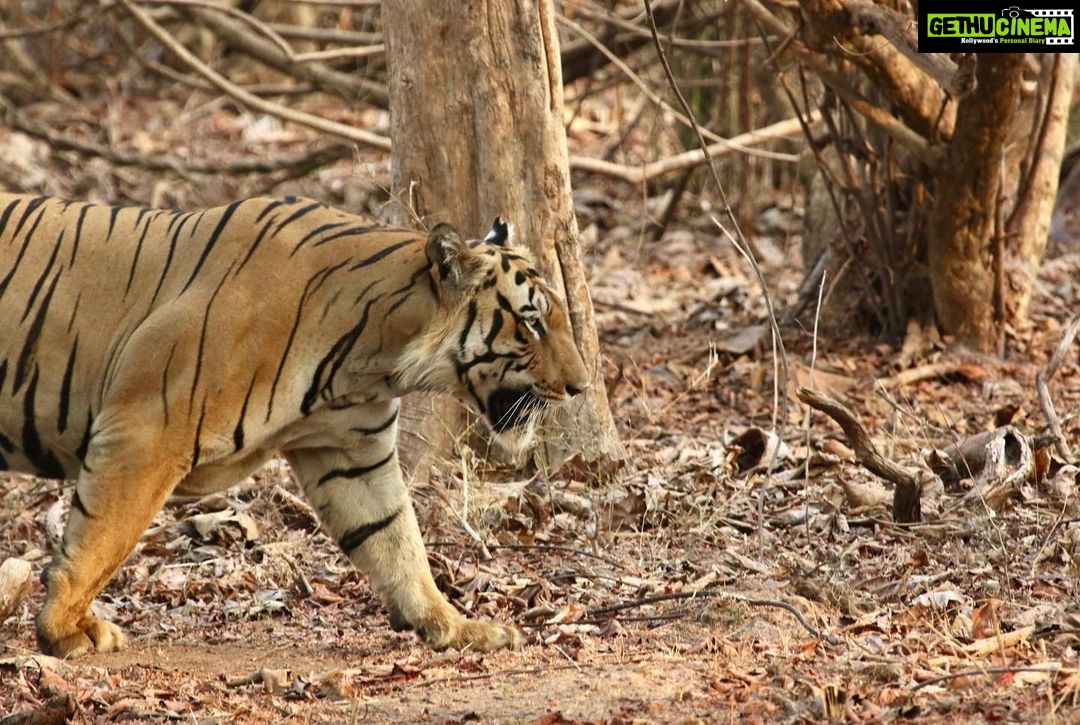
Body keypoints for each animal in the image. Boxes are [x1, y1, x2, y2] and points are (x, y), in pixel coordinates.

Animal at [0, 193, 589, 659]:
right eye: (532, 322)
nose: (582, 386)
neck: (374, 355)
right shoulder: (145, 431)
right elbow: (103, 539)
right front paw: (64, 630)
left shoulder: (352, 453)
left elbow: (397, 541)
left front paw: (455, 627)